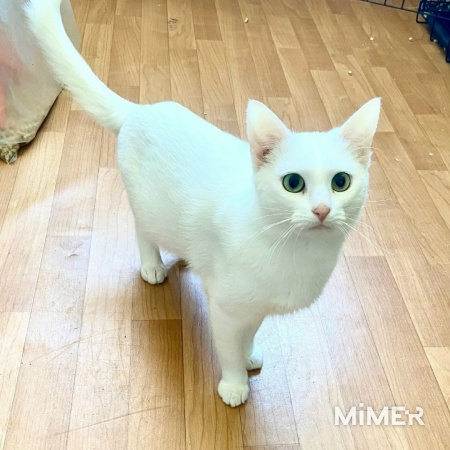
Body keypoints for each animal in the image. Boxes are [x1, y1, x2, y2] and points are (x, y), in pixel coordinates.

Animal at [25, 0, 381, 407]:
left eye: (341, 182)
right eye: (293, 183)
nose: (322, 210)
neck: (297, 253)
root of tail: (141, 110)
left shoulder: (253, 306)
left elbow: (249, 333)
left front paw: (249, 353)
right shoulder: (226, 308)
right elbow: (227, 348)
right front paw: (235, 383)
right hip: (146, 207)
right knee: (142, 231)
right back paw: (153, 266)